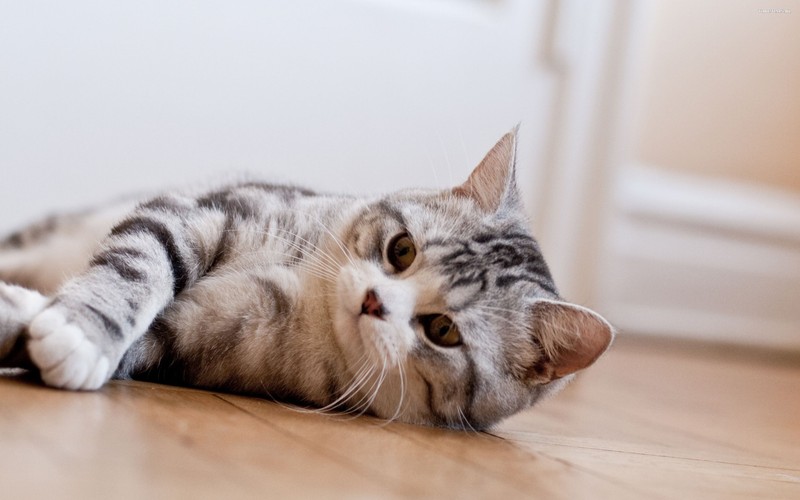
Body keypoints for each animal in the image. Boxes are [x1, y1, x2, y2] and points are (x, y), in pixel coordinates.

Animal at [0, 129, 612, 430]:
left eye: (443, 330)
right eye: (402, 249)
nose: (373, 301)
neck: (306, 301)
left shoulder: (195, 341)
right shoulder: (201, 212)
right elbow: (137, 266)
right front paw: (78, 326)